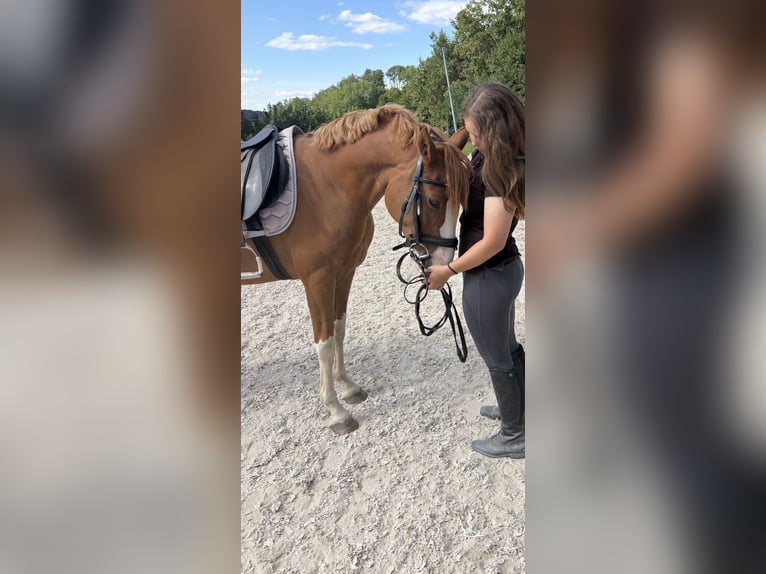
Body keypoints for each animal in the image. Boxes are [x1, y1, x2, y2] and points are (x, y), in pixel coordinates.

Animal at [241, 104, 472, 434]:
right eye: (433, 201)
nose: (443, 264)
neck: (324, 186)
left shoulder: (344, 271)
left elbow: (339, 329)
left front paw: (348, 388)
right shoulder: (318, 280)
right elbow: (324, 342)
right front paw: (336, 411)